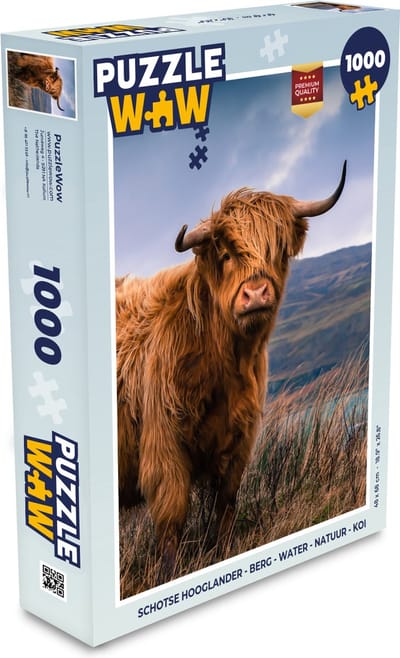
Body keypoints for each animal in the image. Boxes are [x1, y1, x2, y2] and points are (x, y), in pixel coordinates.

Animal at [117, 162, 347, 580]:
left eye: (277, 248)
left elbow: (225, 504)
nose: (255, 294)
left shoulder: (239, 439)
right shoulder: (164, 447)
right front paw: (169, 575)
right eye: (225, 254)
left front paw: (223, 553)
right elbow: (172, 518)